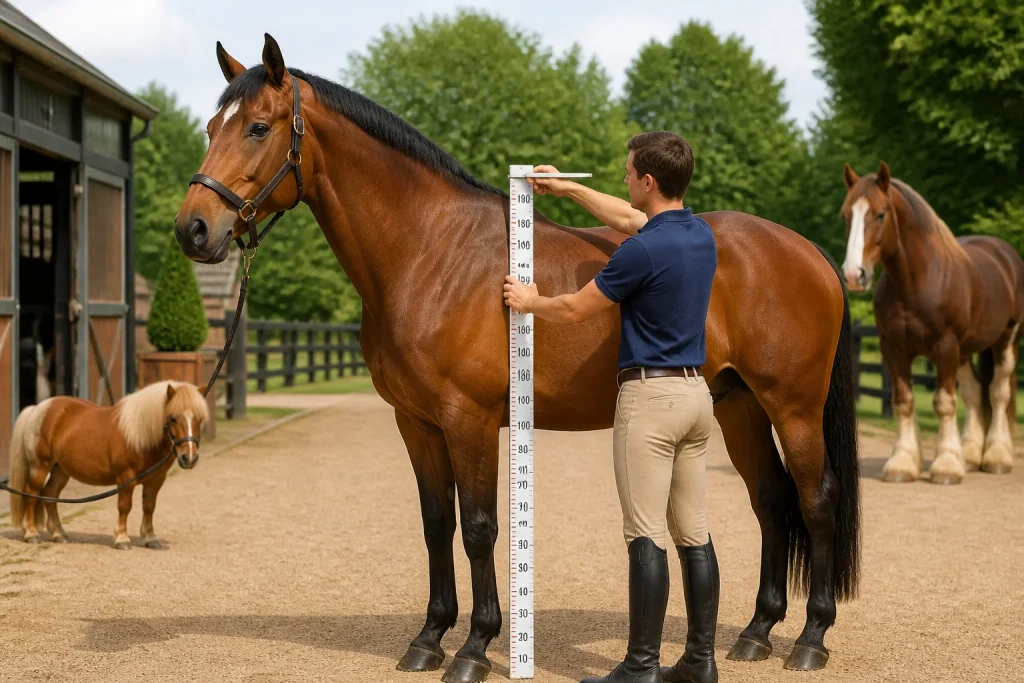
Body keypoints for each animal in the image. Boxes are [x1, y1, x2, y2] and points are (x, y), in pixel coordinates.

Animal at [8, 380, 208, 549]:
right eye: (173, 418)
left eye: (199, 419)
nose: (189, 458)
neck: (138, 435)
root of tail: (37, 409)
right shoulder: (126, 477)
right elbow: (125, 506)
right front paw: (122, 539)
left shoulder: (156, 479)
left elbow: (149, 507)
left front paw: (150, 538)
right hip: (39, 467)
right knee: (31, 495)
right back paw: (32, 534)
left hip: (60, 470)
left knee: (50, 495)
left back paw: (59, 534)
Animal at [174, 34, 861, 682]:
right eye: (210, 128)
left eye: (258, 127)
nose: (193, 229)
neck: (430, 251)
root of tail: (811, 253)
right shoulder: (416, 422)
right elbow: (435, 524)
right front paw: (428, 639)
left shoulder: (468, 419)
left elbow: (479, 527)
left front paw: (475, 647)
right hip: (737, 403)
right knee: (771, 501)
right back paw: (755, 633)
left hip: (792, 407)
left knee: (816, 499)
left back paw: (810, 638)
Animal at [840, 161, 1024, 485]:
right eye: (846, 214)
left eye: (880, 214)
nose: (854, 274)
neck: (917, 280)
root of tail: (1005, 254)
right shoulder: (894, 348)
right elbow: (904, 401)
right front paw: (903, 463)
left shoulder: (945, 347)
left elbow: (944, 403)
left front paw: (947, 465)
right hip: (965, 351)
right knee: (974, 393)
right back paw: (971, 455)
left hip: (1006, 341)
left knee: (998, 393)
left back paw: (996, 457)